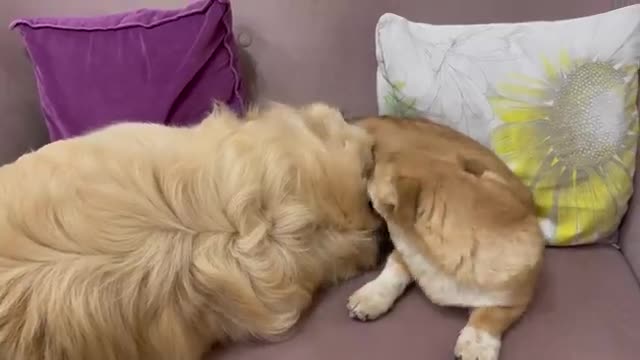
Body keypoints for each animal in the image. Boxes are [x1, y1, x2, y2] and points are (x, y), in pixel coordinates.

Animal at [348, 116, 544, 360]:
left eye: (374, 165)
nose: (369, 156)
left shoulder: (516, 297)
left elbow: (490, 315)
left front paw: (476, 344)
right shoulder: (407, 246)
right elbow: (394, 269)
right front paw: (372, 295)